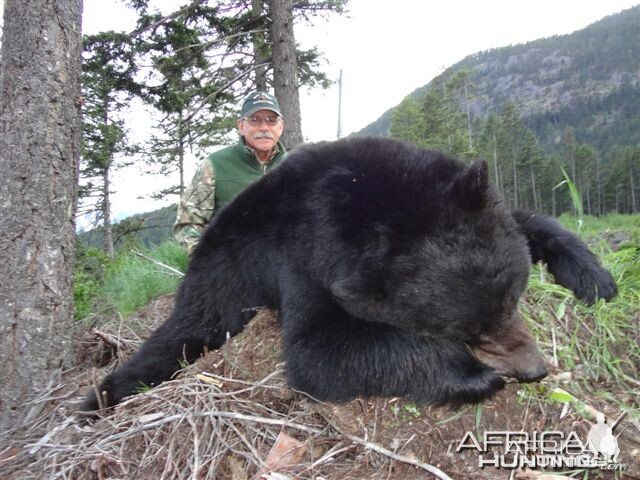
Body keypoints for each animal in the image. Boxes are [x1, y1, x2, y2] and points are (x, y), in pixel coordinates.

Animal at [81, 137, 616, 410]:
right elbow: (318, 350)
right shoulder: (302, 256)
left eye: (513, 297)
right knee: (188, 331)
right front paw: (474, 374)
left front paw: (595, 277)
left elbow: (533, 221)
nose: (535, 370)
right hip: (222, 277)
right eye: (469, 331)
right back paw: (101, 396)